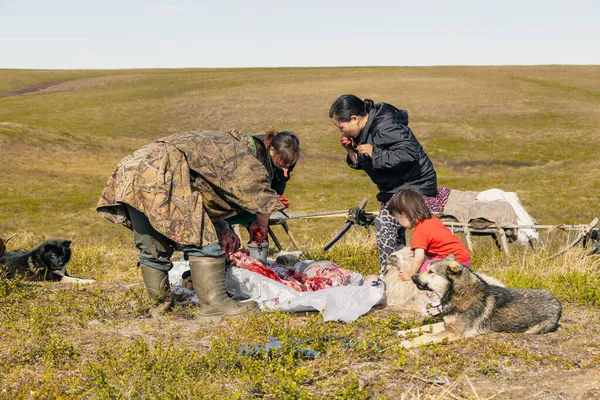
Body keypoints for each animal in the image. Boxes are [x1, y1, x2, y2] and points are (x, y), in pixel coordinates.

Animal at [398, 256, 564, 346]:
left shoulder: (454, 332)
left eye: (431, 272)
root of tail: (557, 301)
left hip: (533, 329)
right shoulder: (446, 325)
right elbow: (424, 328)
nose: (412, 277)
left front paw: (407, 343)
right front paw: (404, 332)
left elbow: (425, 336)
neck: (457, 293)